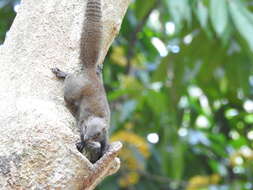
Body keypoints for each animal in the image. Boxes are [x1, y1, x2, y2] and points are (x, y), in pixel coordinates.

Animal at [51, 0, 109, 163]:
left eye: (97, 134)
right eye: (85, 129)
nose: (88, 138)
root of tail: (89, 72)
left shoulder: (105, 134)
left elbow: (104, 144)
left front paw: (103, 151)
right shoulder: (82, 123)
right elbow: (81, 138)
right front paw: (82, 143)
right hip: (72, 91)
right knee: (70, 78)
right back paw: (63, 73)